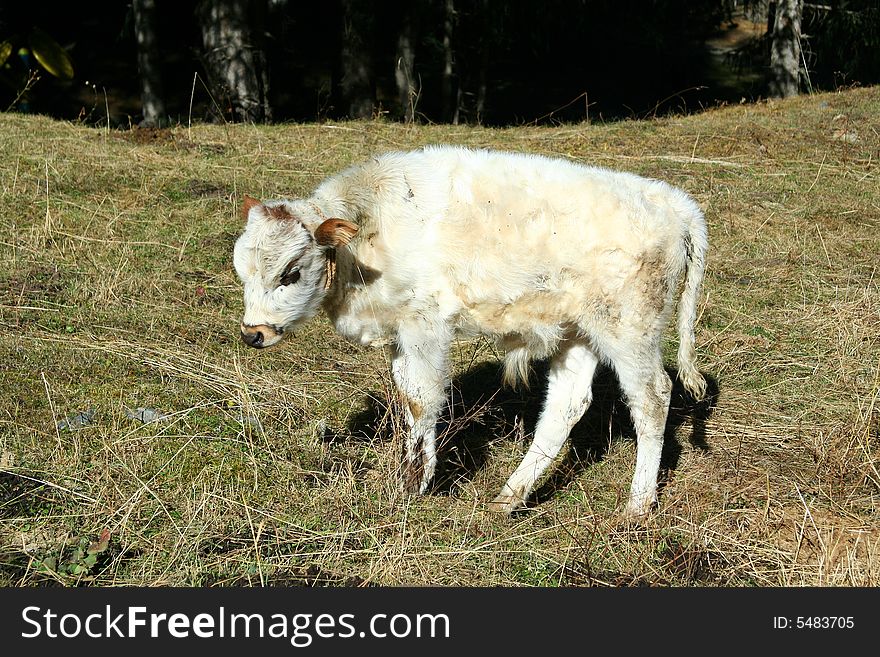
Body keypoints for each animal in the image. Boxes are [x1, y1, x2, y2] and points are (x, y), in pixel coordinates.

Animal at [232, 145, 708, 516]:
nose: (253, 333)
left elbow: (423, 401)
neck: (371, 227)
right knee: (566, 405)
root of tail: (674, 202)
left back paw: (637, 505)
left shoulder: (426, 326)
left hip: (629, 332)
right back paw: (508, 498)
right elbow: (407, 396)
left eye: (291, 273)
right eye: (242, 270)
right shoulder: (401, 333)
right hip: (577, 332)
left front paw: (414, 484)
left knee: (652, 399)